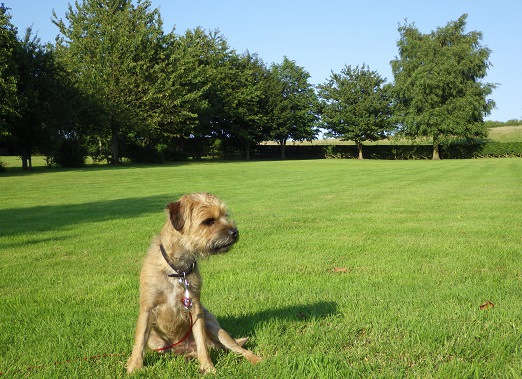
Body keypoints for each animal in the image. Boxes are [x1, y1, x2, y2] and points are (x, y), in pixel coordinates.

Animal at [126, 193, 260, 374]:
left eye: (225, 215)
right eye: (208, 221)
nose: (235, 232)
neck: (177, 269)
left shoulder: (196, 308)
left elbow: (201, 342)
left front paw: (208, 368)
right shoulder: (147, 309)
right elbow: (139, 342)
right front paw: (134, 367)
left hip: (214, 328)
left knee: (236, 348)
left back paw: (256, 359)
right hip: (156, 342)